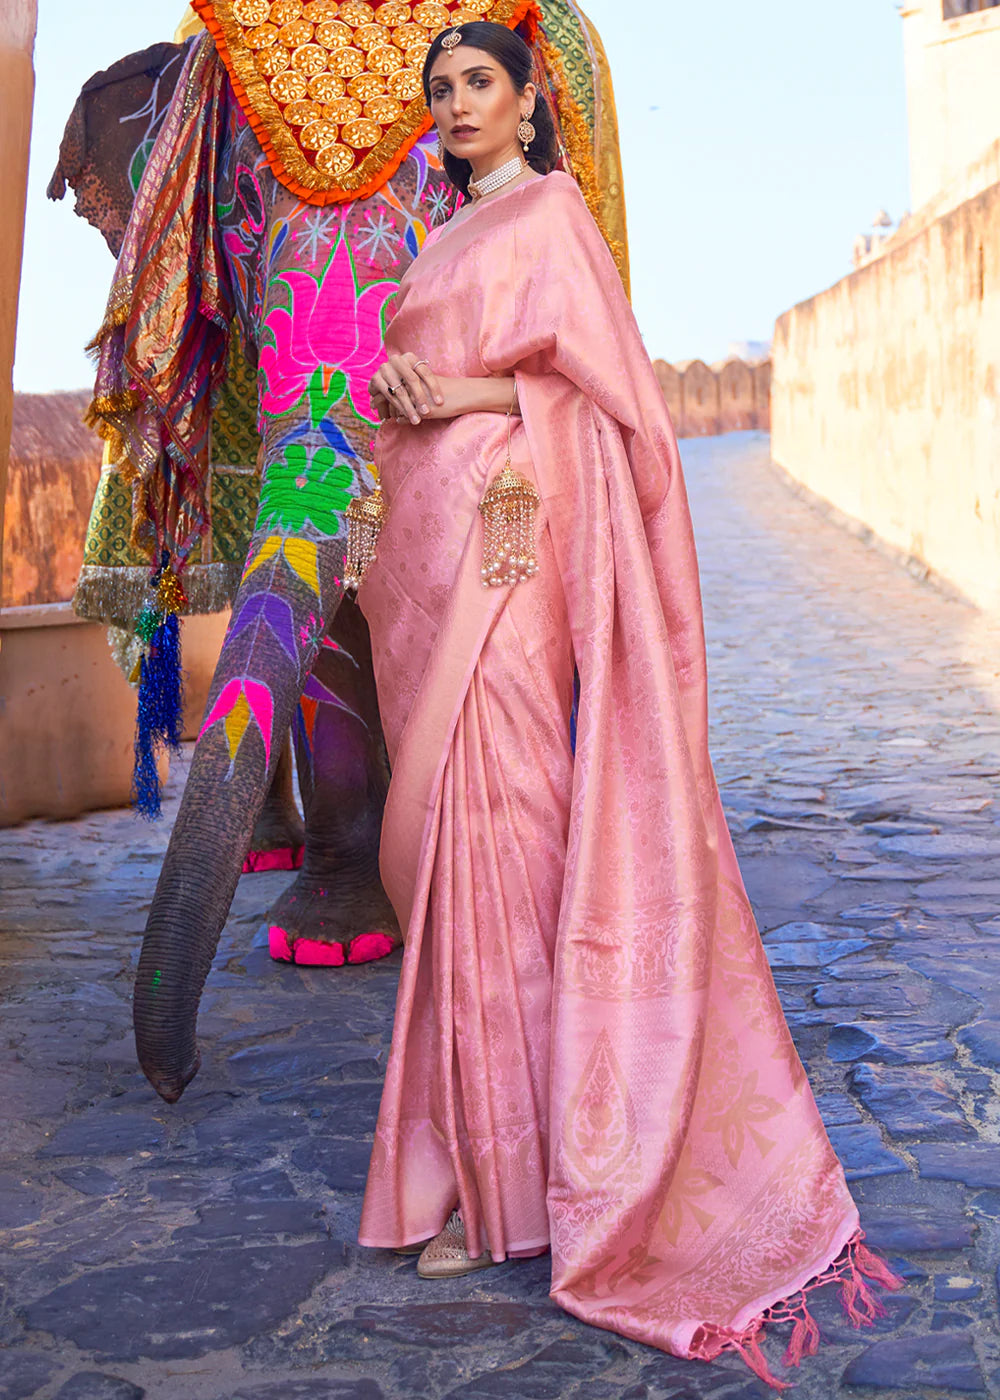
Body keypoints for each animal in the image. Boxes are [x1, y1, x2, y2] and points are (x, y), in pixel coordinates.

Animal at [60, 0, 621, 1103]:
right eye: (235, 212)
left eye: (448, 194)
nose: (180, 1082)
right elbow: (324, 616)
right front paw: (327, 946)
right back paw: (274, 859)